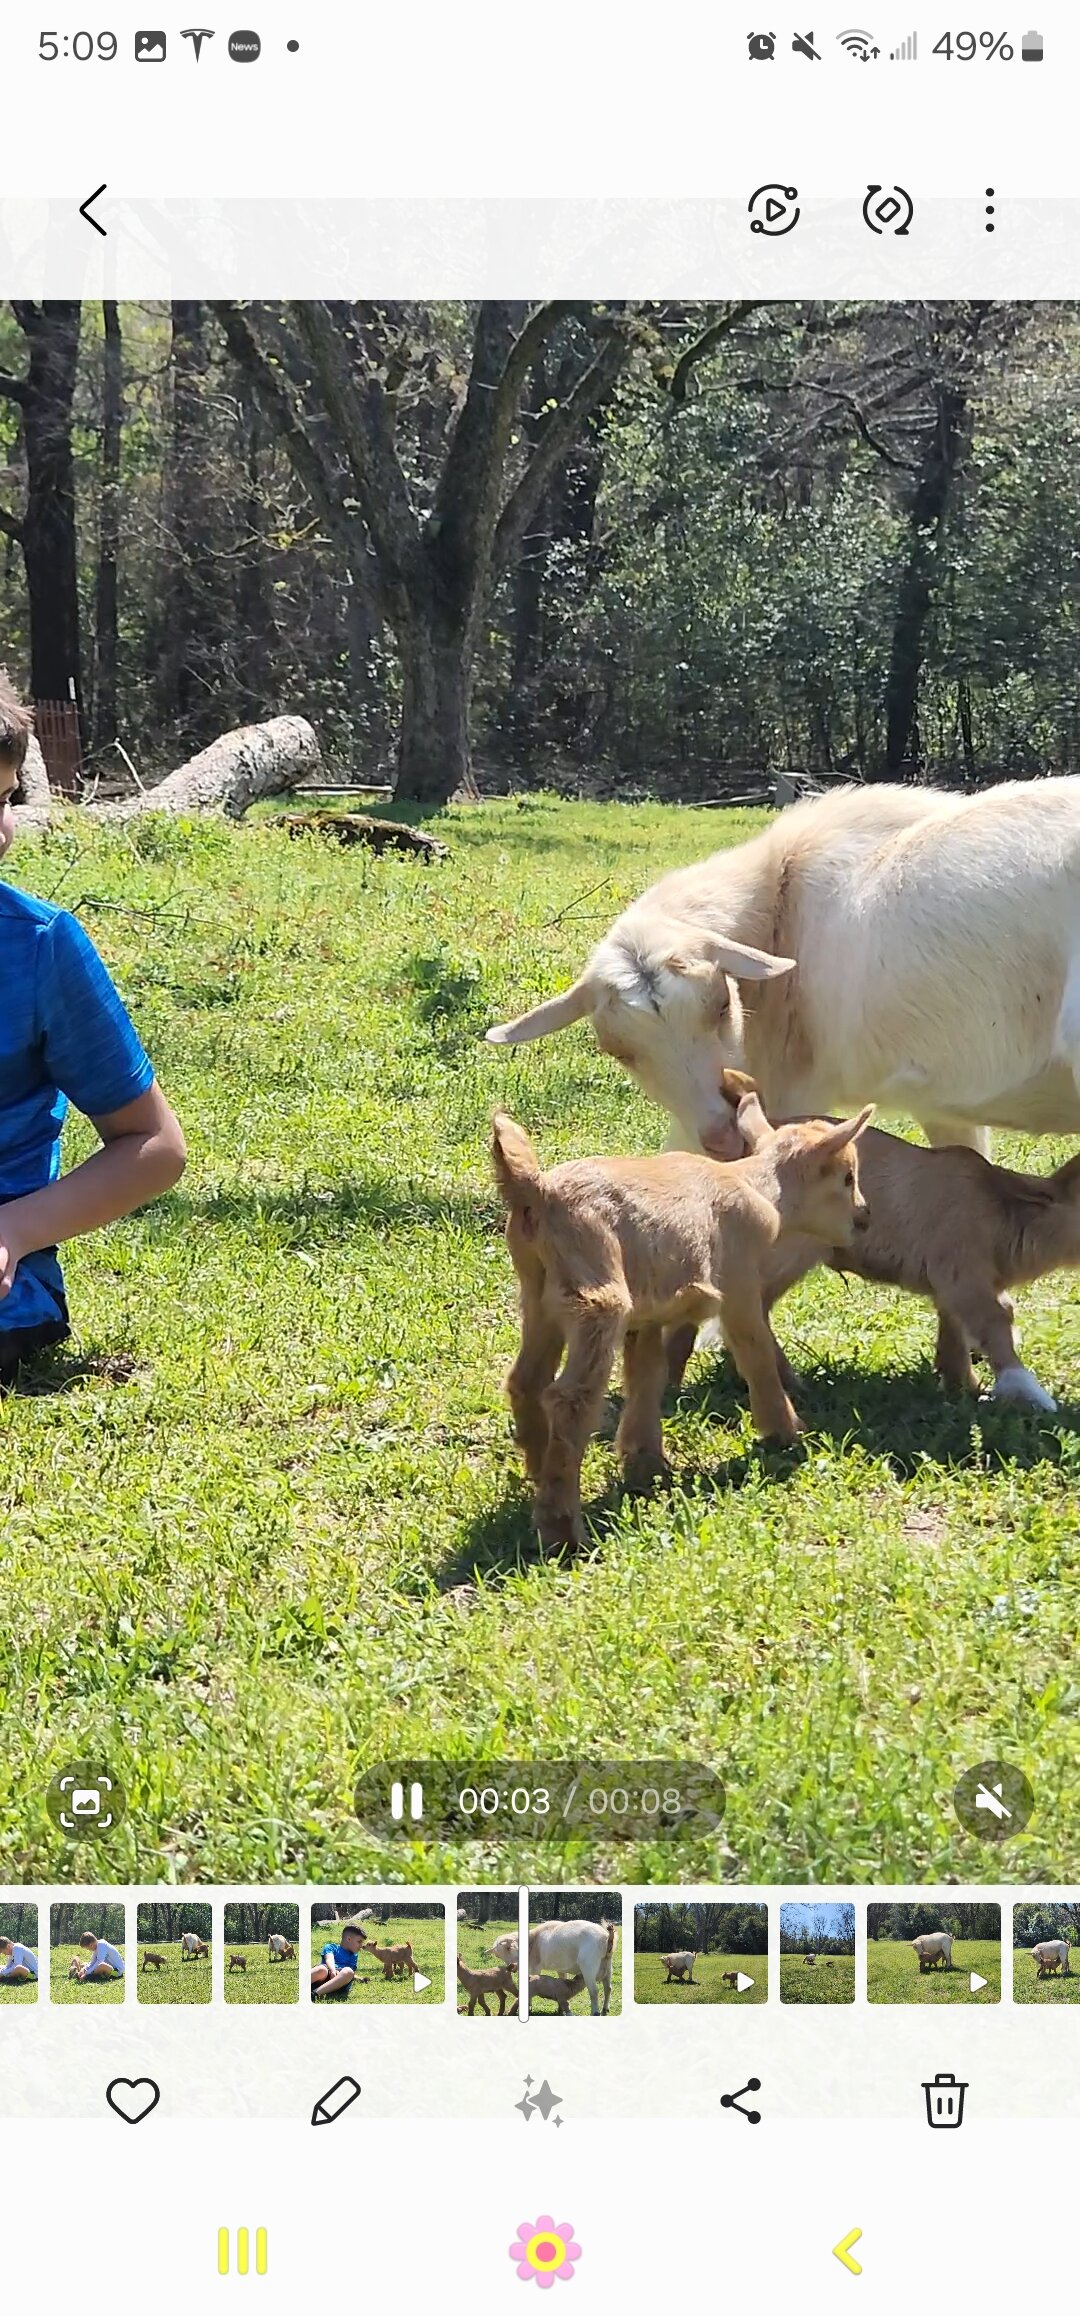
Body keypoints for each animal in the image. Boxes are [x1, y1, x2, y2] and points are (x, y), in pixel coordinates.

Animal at [492, 1076, 871, 1543]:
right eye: (847, 1176)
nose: (864, 1217)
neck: (756, 1186)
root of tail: (535, 1191)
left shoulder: (647, 1315)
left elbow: (646, 1378)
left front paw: (646, 1464)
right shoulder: (739, 1282)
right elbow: (756, 1354)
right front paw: (785, 1432)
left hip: (539, 1294)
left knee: (526, 1379)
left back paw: (536, 1468)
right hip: (597, 1292)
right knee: (570, 1397)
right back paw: (562, 1529)